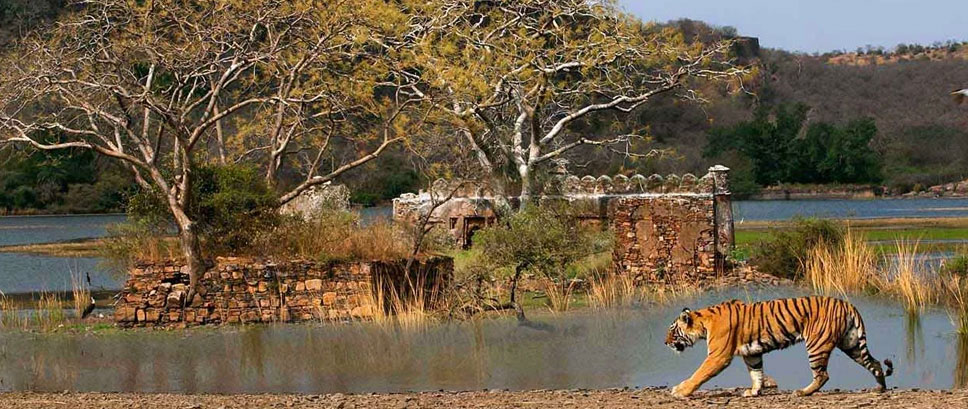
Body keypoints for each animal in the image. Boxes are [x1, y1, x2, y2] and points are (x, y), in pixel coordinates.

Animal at [664, 296, 893, 398]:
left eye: (673, 331)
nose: (665, 343)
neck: (703, 322)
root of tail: (848, 304)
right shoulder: (752, 353)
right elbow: (756, 373)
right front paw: (753, 392)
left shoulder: (718, 356)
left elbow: (699, 374)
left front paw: (680, 390)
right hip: (851, 344)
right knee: (874, 363)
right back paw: (880, 387)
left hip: (817, 345)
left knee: (822, 375)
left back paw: (802, 392)